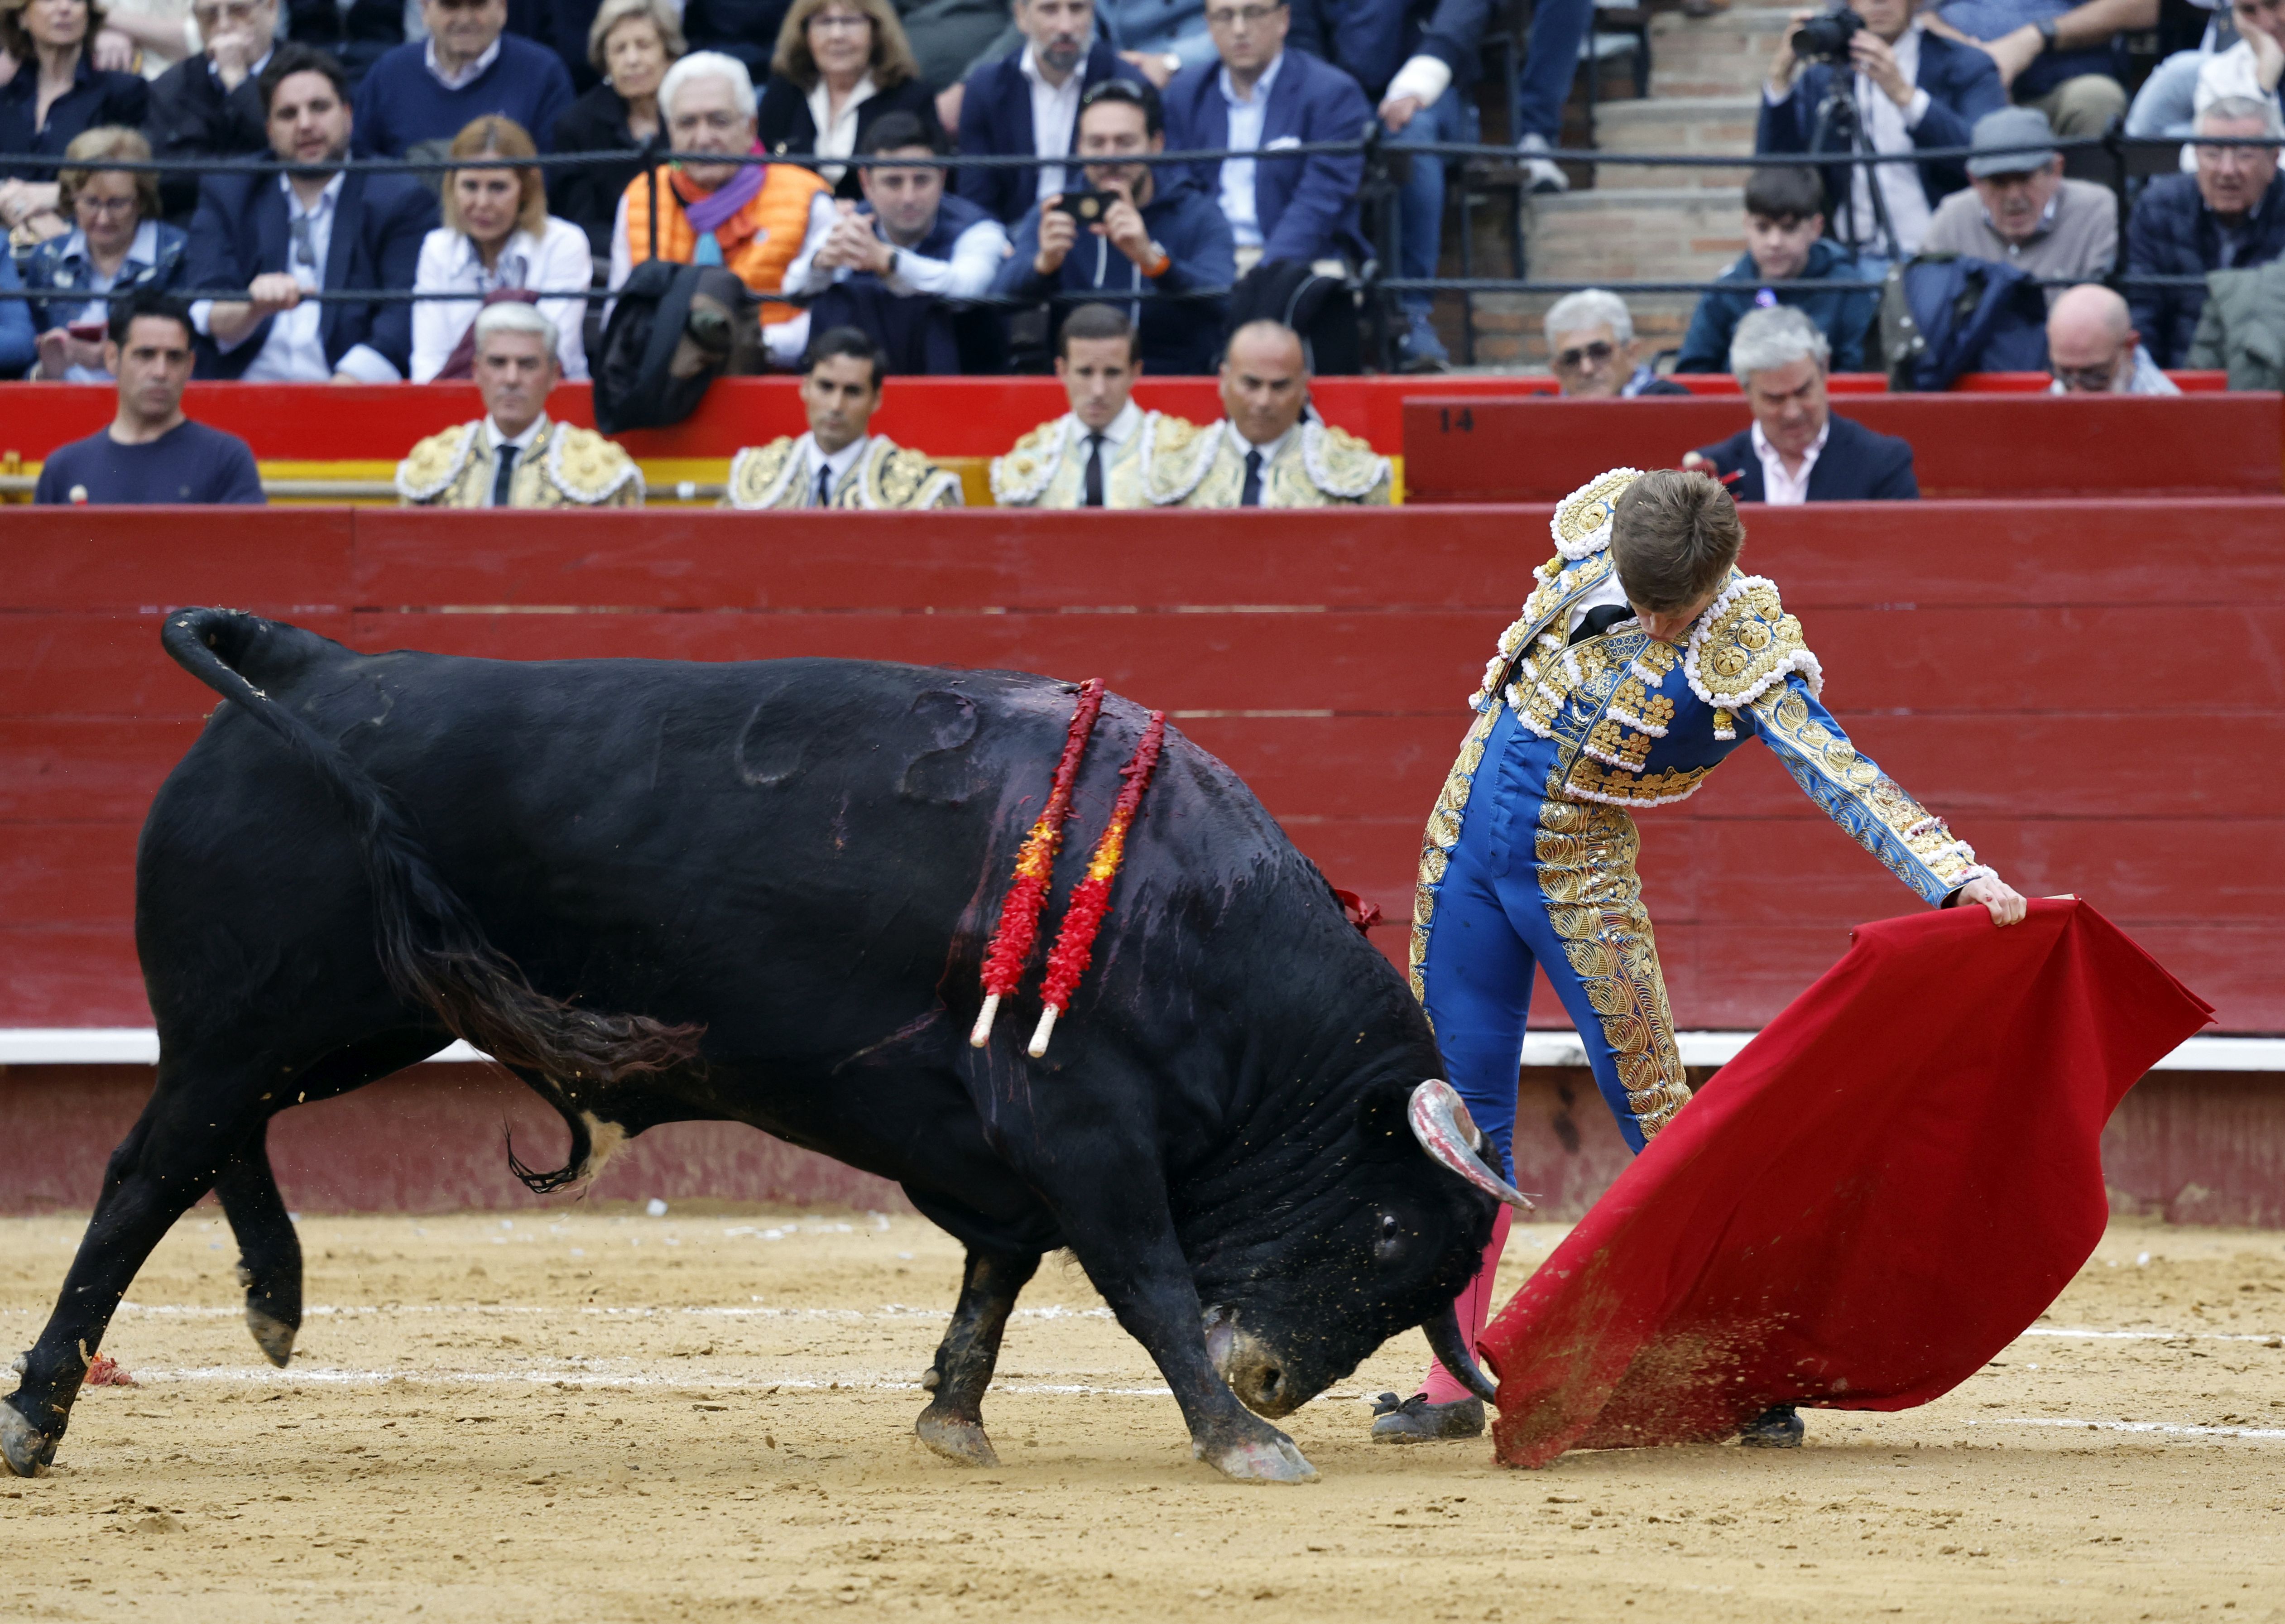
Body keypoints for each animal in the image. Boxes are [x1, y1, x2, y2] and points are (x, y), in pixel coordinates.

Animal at [4, 612, 1517, 1489]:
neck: (1190, 928)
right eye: (1389, 1231)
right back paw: (41, 1415)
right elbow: (1138, 1277)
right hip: (268, 1013)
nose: (1269, 1375)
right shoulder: (1081, 1127)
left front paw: (954, 1419)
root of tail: (308, 666)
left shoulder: (990, 1148)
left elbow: (997, 1275)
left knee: (222, 1135)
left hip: (352, 1017)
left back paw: (273, 1295)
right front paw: (1239, 1438)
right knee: (143, 1172)